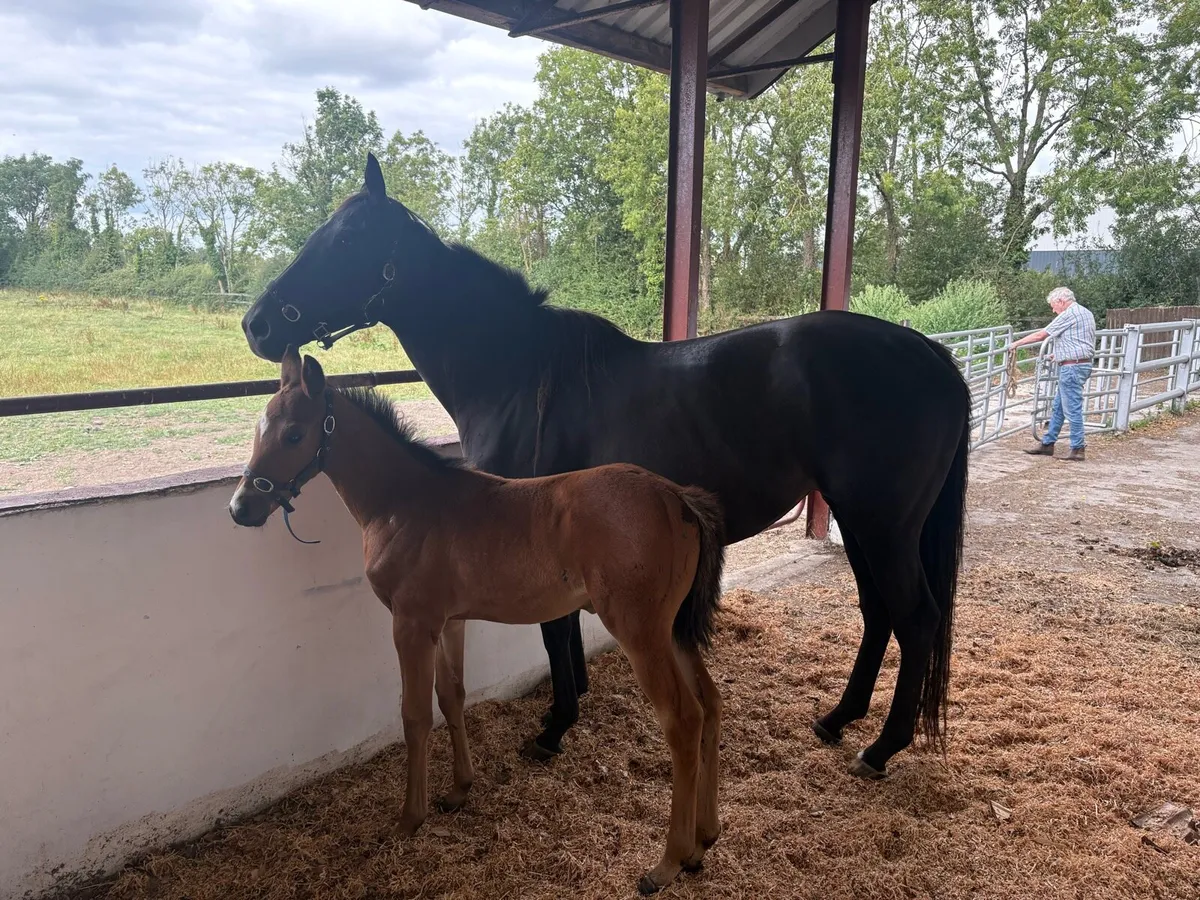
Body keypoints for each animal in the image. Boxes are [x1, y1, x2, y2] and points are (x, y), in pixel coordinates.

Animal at [228, 346, 726, 895]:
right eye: (259, 427)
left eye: (295, 434)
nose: (241, 507)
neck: (404, 503)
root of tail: (677, 498)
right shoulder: (448, 622)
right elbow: (452, 697)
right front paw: (458, 791)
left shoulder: (411, 624)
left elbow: (415, 714)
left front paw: (410, 817)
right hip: (674, 630)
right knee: (709, 704)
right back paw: (703, 840)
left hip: (641, 632)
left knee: (682, 719)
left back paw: (668, 861)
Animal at [241, 153, 972, 779]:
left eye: (347, 239)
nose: (256, 324)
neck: (516, 371)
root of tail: (933, 356)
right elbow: (560, 628)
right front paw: (572, 706)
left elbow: (553, 630)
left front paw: (555, 726)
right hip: (863, 520)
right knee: (879, 613)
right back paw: (837, 719)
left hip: (882, 523)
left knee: (915, 617)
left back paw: (880, 749)